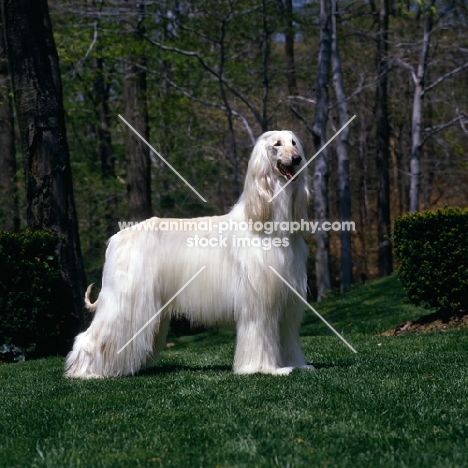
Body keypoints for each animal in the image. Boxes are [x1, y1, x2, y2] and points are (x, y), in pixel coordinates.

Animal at [64, 130, 312, 378]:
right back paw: (84, 372)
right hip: (125, 298)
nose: (297, 159)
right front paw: (266, 368)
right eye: (276, 144)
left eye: (294, 143)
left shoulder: (286, 300)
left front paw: (297, 364)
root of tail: (115, 238)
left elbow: (287, 335)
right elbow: (260, 334)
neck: (267, 222)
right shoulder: (259, 300)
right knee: (92, 335)